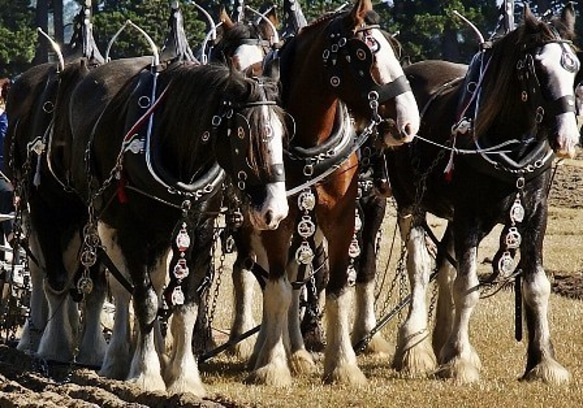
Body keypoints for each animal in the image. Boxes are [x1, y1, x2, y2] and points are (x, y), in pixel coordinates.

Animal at [250, 0, 420, 386]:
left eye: (395, 48)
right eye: (362, 52)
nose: (409, 123)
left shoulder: (342, 220)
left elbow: (337, 287)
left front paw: (343, 366)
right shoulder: (275, 222)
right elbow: (277, 290)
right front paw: (272, 366)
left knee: (298, 281)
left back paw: (298, 352)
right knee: (271, 281)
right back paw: (267, 349)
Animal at [388, 4, 580, 384]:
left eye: (574, 67)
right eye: (538, 67)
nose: (567, 138)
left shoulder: (535, 214)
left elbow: (536, 285)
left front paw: (543, 363)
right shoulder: (469, 215)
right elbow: (466, 285)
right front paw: (461, 362)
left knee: (443, 262)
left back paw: (441, 343)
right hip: (409, 201)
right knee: (419, 264)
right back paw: (415, 348)